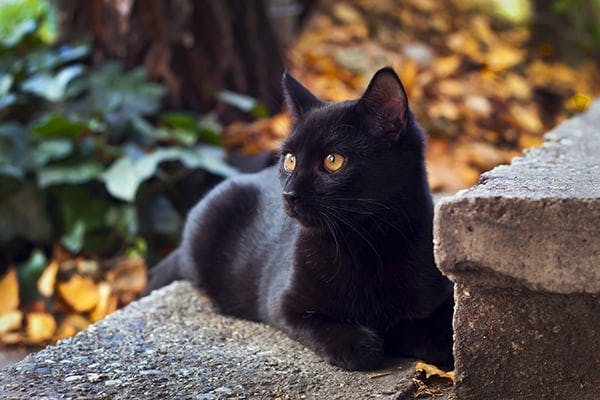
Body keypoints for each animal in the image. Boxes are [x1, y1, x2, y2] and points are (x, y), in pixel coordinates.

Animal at [148, 67, 452, 370]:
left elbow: (429, 329)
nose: (289, 193)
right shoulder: (283, 303)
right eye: (290, 160)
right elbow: (325, 327)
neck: (365, 243)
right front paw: (362, 342)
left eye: (333, 160)